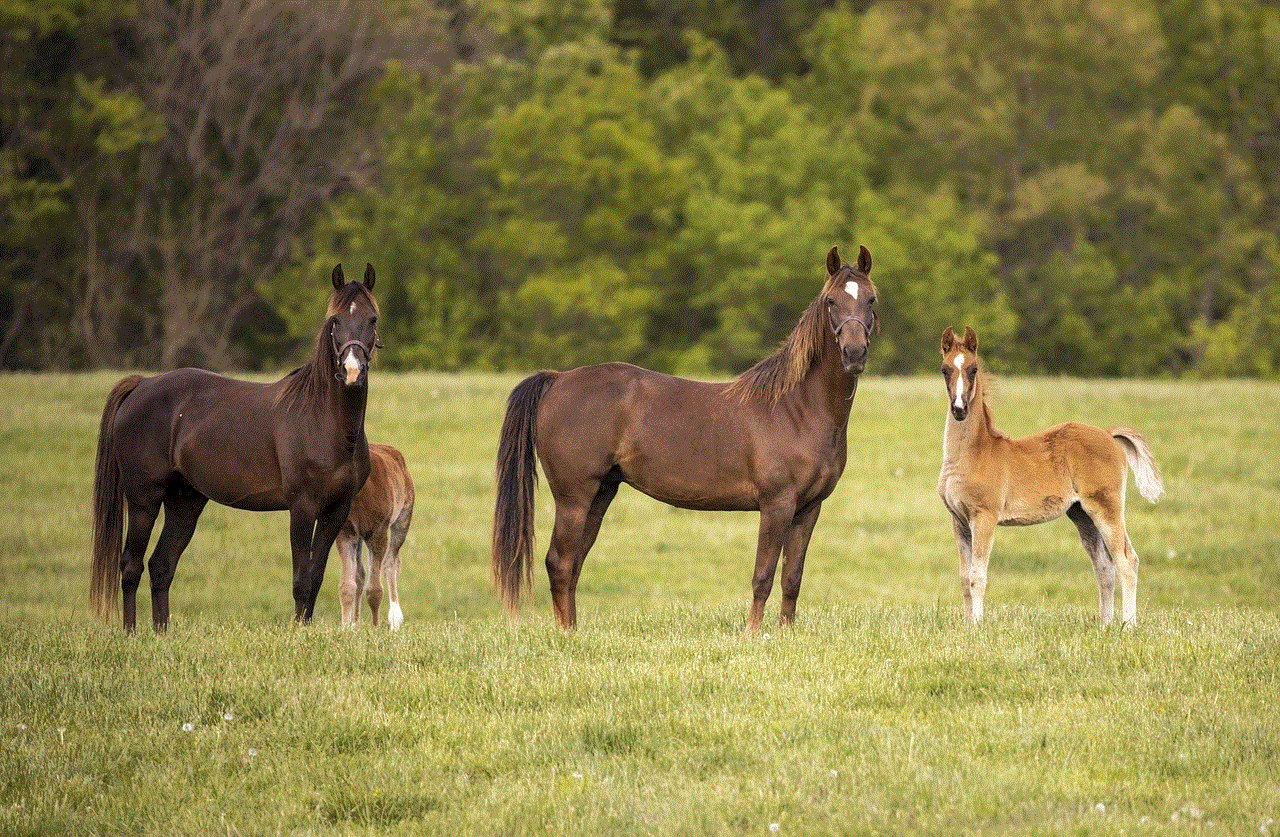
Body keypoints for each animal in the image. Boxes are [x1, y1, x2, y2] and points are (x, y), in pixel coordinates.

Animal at [91, 262, 373, 629]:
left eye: (372, 319)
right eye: (335, 320)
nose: (352, 371)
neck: (326, 422)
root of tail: (142, 384)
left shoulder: (335, 510)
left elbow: (315, 577)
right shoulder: (302, 507)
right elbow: (301, 579)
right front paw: (299, 632)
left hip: (185, 502)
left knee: (161, 566)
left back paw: (161, 632)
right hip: (143, 500)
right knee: (131, 566)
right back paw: (131, 633)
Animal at [335, 445, 414, 629]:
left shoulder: (378, 530)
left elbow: (375, 590)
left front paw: (375, 628)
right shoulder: (345, 532)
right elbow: (347, 585)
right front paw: (345, 627)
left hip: (403, 518)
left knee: (391, 563)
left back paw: (395, 620)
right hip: (358, 537)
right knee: (360, 574)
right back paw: (355, 623)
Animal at [491, 245, 880, 632]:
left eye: (872, 299)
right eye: (831, 301)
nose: (854, 353)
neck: (795, 408)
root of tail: (557, 380)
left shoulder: (808, 508)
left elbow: (792, 578)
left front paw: (785, 633)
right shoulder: (777, 504)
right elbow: (763, 576)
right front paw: (753, 634)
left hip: (600, 493)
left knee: (573, 565)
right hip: (574, 496)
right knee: (560, 563)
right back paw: (567, 636)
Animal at [936, 327, 1167, 629]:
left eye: (973, 369)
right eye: (945, 369)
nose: (959, 409)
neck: (974, 453)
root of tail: (1108, 434)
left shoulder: (984, 516)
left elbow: (978, 576)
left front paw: (977, 627)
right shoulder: (959, 520)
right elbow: (964, 578)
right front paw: (966, 626)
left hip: (1106, 507)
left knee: (1127, 561)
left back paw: (1128, 626)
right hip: (1082, 514)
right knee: (1104, 567)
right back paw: (1105, 625)